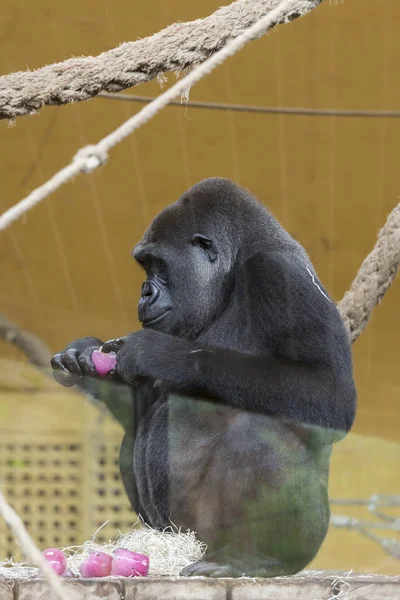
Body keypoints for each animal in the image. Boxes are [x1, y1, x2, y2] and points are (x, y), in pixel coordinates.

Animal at [50, 178, 356, 576]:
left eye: (158, 265)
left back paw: (258, 556)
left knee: (259, 430)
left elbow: (330, 395)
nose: (144, 293)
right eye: (145, 266)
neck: (233, 273)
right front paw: (86, 357)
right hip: (176, 530)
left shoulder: (279, 274)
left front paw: (164, 355)